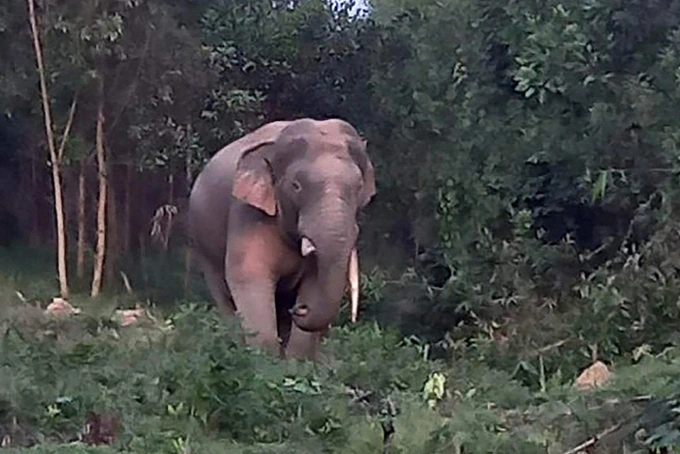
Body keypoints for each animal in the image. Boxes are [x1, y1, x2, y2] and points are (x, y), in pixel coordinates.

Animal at [187, 118, 376, 360]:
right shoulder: (247, 212)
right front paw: (265, 360)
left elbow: (314, 281)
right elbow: (249, 273)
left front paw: (296, 362)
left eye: (359, 187)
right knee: (223, 293)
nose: (300, 308)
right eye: (296, 186)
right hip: (204, 246)